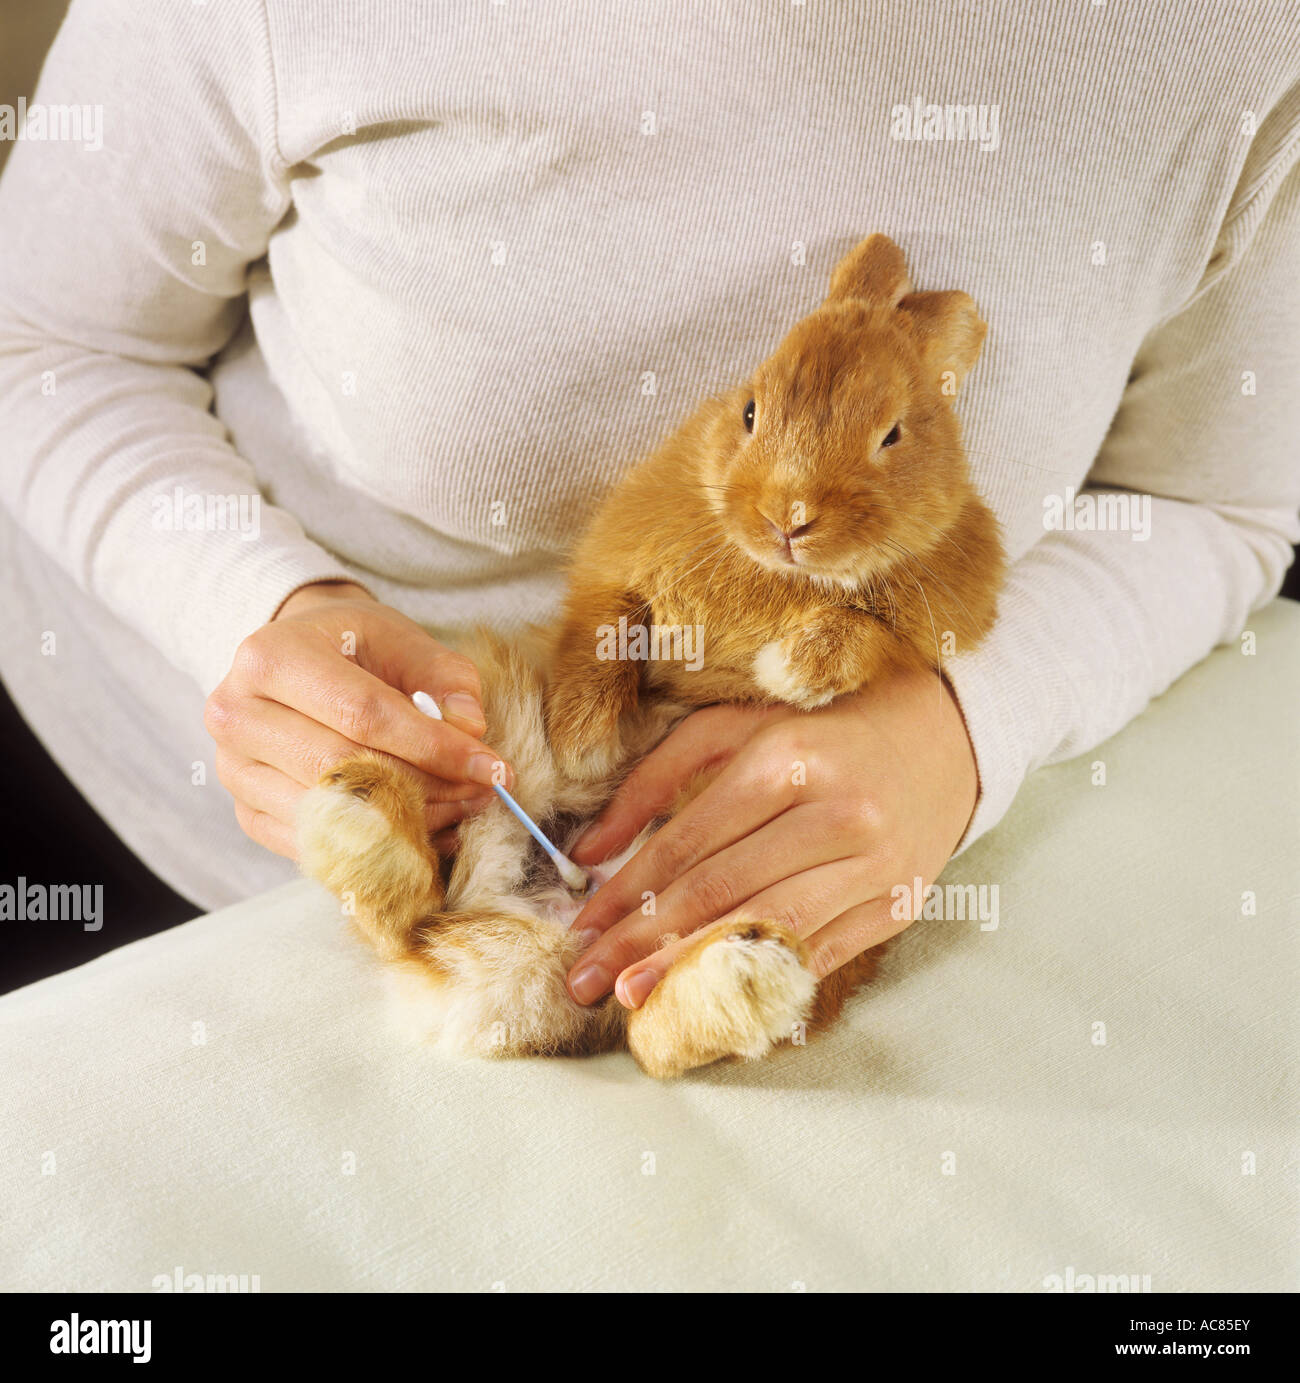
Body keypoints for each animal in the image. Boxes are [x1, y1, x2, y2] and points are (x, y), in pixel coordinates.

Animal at [297, 233, 1006, 1079]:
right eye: (751, 410)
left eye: (893, 434)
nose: (788, 516)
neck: (774, 569)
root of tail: (556, 934)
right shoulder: (621, 568)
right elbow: (607, 632)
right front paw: (586, 740)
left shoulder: (923, 619)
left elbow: (863, 634)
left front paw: (796, 669)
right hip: (500, 734)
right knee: (423, 909)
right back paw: (364, 806)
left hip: (818, 935)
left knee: (649, 1032)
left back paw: (748, 971)